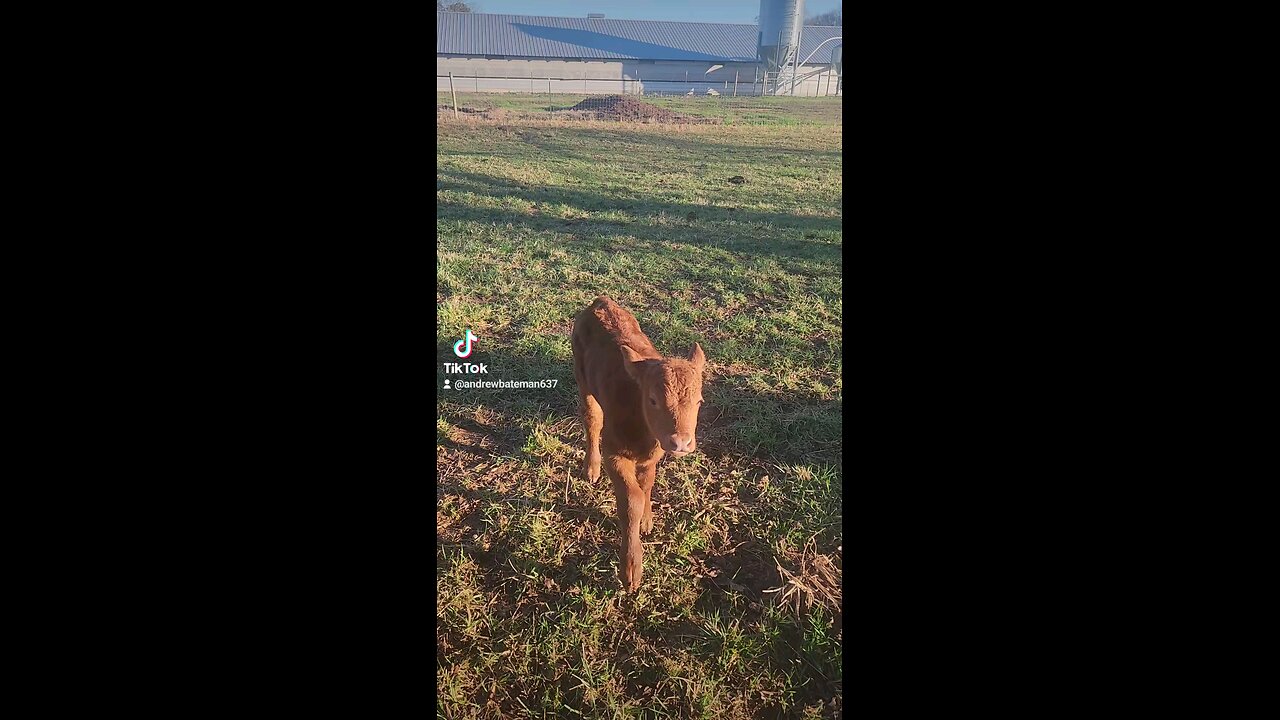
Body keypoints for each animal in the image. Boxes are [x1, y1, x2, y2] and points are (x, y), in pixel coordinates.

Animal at [573, 293, 711, 589]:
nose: (680, 442)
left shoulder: (652, 456)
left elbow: (646, 484)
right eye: (653, 400)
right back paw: (591, 468)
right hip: (583, 381)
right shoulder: (614, 453)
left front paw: (647, 520)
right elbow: (630, 502)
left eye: (699, 401)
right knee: (592, 419)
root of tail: (601, 301)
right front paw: (631, 570)